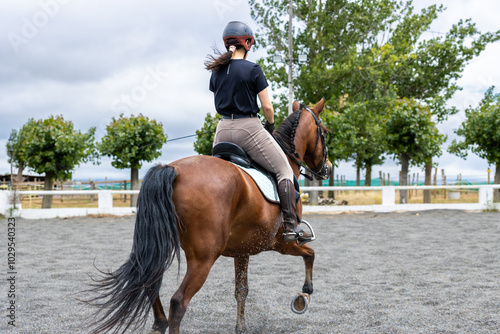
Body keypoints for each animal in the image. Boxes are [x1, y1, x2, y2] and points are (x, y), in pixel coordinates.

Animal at [88, 99, 330, 334]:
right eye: (325, 132)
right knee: (178, 302)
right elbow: (310, 254)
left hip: (160, 244)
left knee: (149, 282)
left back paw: (159, 323)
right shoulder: (282, 243)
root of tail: (173, 169)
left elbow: (241, 289)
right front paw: (304, 295)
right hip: (204, 258)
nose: (327, 168)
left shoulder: (243, 249)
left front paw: (240, 326)